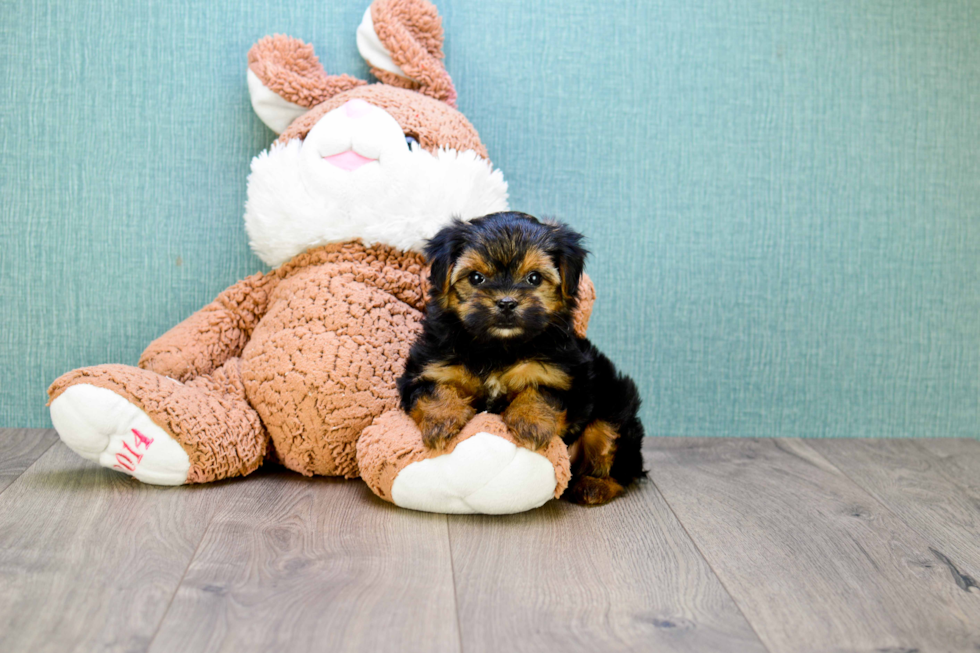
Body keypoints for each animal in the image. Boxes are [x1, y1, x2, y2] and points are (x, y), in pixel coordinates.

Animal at [394, 211, 648, 506]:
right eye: (477, 278)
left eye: (534, 278)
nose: (506, 302)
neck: (499, 347)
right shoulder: (430, 367)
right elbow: (432, 389)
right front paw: (441, 421)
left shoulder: (566, 377)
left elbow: (543, 393)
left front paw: (530, 423)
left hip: (617, 403)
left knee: (617, 457)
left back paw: (595, 486)